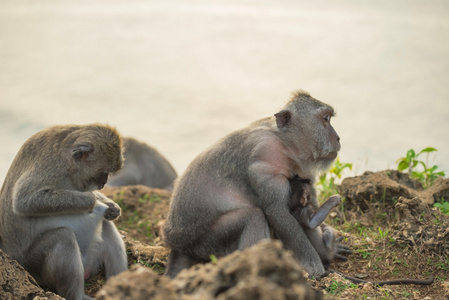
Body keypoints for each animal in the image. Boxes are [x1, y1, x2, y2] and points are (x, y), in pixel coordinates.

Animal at [0, 123, 128, 298]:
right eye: (103, 172)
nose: (103, 184)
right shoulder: (51, 168)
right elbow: (24, 201)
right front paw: (93, 201)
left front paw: (111, 207)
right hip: (33, 266)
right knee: (63, 237)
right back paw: (78, 296)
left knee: (106, 226)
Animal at [163, 90, 348, 278]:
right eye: (325, 118)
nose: (338, 138)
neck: (284, 144)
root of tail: (176, 246)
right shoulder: (265, 160)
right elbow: (278, 213)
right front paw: (315, 267)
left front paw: (329, 248)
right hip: (204, 243)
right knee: (253, 216)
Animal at [288, 176, 432, 286]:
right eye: (308, 195)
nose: (311, 198)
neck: (296, 207)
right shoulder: (304, 209)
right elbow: (312, 223)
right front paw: (334, 199)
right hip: (328, 253)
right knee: (327, 237)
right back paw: (331, 241)